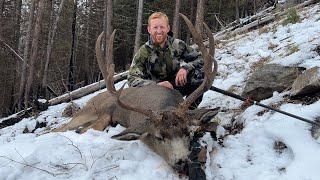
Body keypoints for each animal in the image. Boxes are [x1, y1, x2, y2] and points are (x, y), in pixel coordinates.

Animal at [53, 13, 219, 178]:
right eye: (159, 136)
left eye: (187, 132)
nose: (182, 161)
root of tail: (91, 100)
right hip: (91, 112)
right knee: (63, 128)